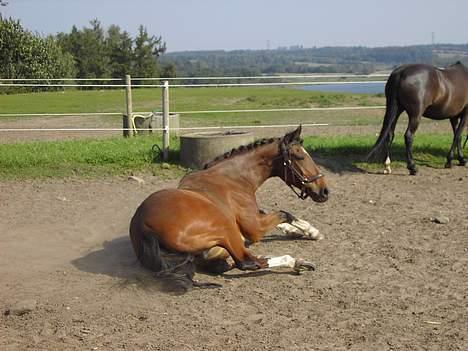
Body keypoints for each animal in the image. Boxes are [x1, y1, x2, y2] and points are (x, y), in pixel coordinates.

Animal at [130, 126, 330, 294]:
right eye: (299, 157)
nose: (324, 191)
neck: (232, 178)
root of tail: (143, 226)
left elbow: (277, 216)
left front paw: (309, 232)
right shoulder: (254, 228)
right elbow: (284, 214)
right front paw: (309, 232)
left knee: (231, 264)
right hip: (225, 228)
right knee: (247, 262)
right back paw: (297, 262)